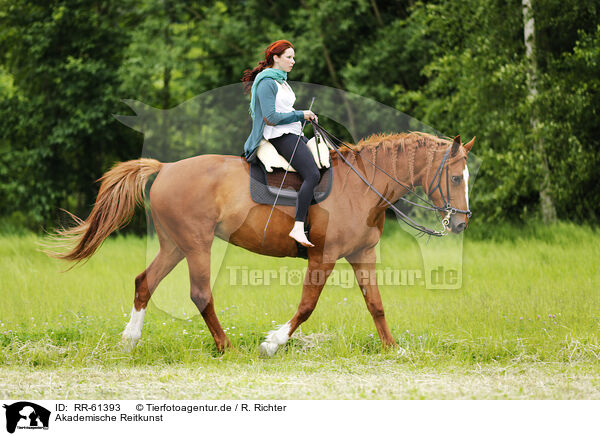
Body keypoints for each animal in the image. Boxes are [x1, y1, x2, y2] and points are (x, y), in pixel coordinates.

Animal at [48, 132, 474, 354]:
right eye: (456, 178)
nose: (460, 223)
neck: (360, 186)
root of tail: (166, 169)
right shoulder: (323, 257)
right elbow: (307, 306)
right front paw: (273, 342)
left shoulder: (361, 255)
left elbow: (376, 305)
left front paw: (391, 347)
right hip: (197, 245)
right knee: (199, 294)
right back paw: (225, 346)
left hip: (174, 246)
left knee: (144, 283)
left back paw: (130, 339)